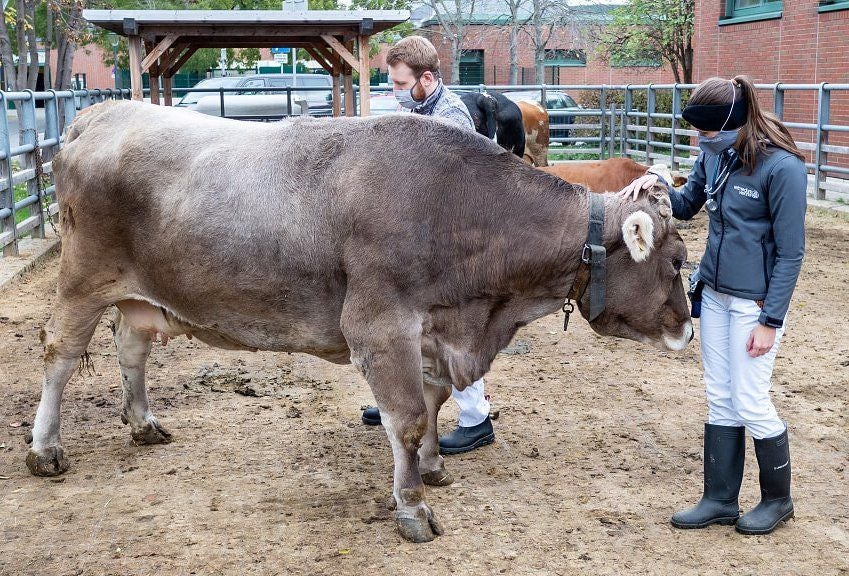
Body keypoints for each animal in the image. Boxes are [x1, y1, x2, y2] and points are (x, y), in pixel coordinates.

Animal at [27, 100, 693, 544]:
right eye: (678, 261)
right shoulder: (380, 326)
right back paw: (45, 448)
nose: (688, 329)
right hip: (83, 278)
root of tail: (103, 113)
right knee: (59, 357)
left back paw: (142, 422)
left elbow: (433, 403)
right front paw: (412, 508)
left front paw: (433, 467)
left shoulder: (434, 332)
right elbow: (405, 419)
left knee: (130, 348)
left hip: (141, 296)